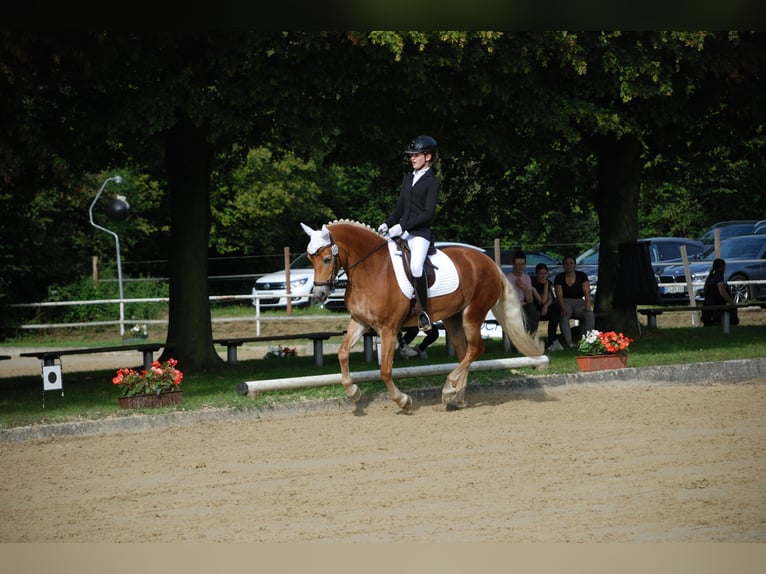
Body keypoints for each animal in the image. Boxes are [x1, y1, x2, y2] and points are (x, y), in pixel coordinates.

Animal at [302, 218, 544, 412]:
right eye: (310, 259)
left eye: (327, 259)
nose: (320, 294)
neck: (371, 269)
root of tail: (490, 263)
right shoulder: (360, 322)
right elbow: (343, 353)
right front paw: (353, 392)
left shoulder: (389, 328)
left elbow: (385, 370)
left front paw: (403, 400)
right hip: (453, 318)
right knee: (465, 352)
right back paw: (457, 397)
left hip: (473, 314)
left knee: (476, 349)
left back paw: (448, 389)